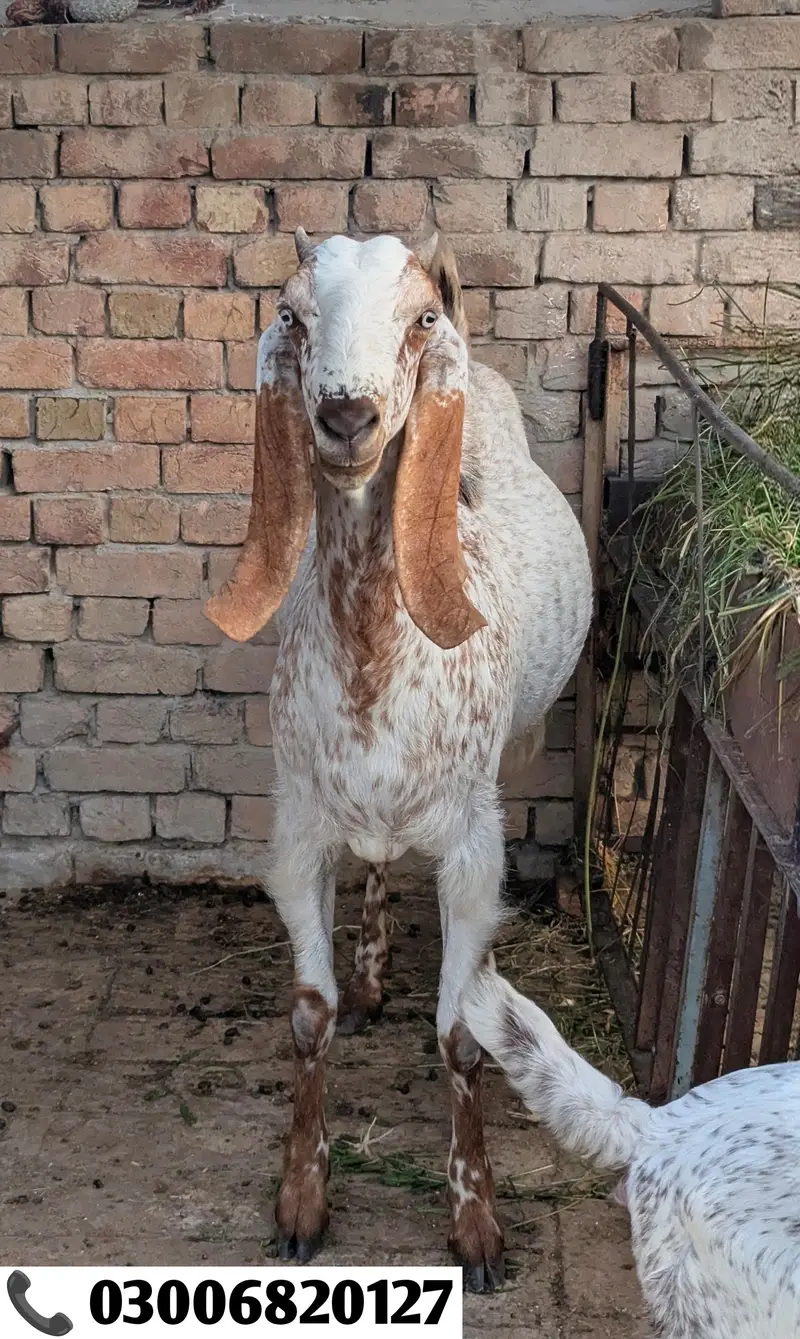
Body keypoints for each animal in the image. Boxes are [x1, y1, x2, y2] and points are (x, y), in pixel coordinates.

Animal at [204, 228, 593, 1289]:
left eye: (419, 319)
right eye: (291, 314)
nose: (347, 416)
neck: (379, 646)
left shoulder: (471, 845)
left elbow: (462, 1036)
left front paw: (477, 1227)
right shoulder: (299, 831)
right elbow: (309, 1014)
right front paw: (301, 1204)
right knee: (376, 872)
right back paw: (376, 970)